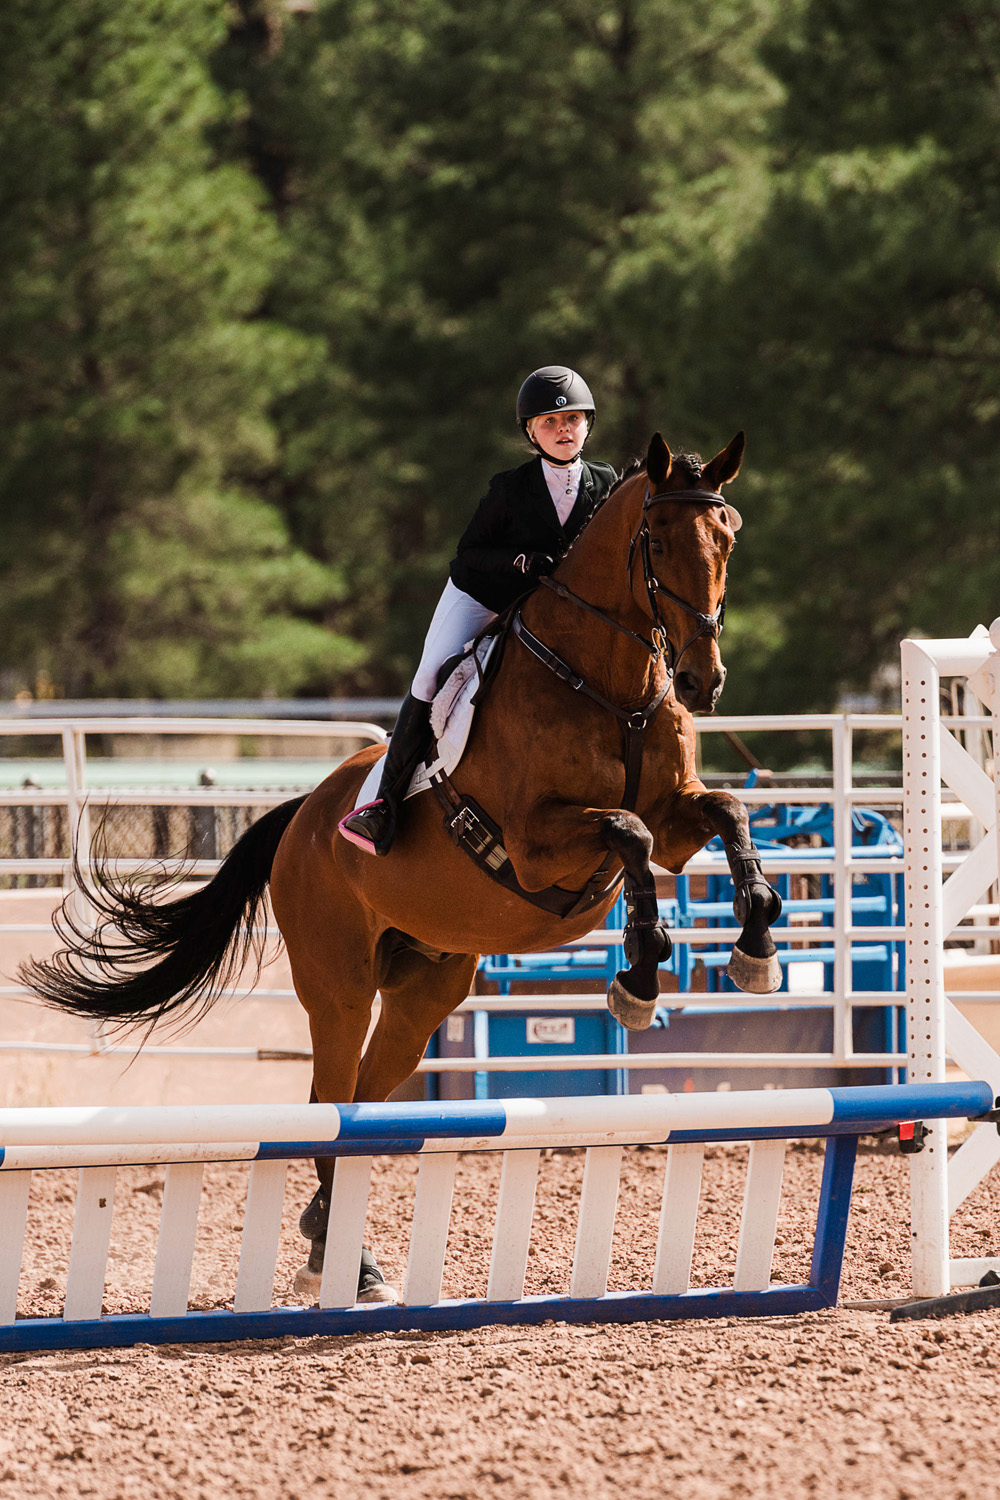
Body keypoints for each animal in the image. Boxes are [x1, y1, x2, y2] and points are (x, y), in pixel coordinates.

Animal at [22, 430, 782, 1303]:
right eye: (656, 541)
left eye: (727, 536)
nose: (701, 680)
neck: (607, 685)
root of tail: (303, 817)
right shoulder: (537, 844)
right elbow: (627, 834)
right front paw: (641, 973)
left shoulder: (677, 818)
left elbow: (724, 811)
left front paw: (755, 946)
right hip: (339, 985)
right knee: (331, 1095)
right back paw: (346, 1260)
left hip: (424, 992)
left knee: (356, 1097)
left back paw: (336, 1242)